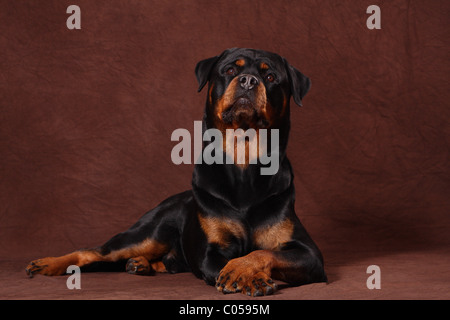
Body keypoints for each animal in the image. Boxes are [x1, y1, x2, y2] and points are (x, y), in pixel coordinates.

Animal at [25, 48, 326, 298]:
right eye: (230, 70)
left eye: (271, 76)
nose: (249, 81)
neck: (244, 165)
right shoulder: (209, 252)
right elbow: (227, 259)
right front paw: (246, 275)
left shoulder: (309, 253)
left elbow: (262, 252)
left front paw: (246, 271)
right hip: (146, 233)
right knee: (92, 253)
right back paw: (48, 263)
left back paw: (141, 265)